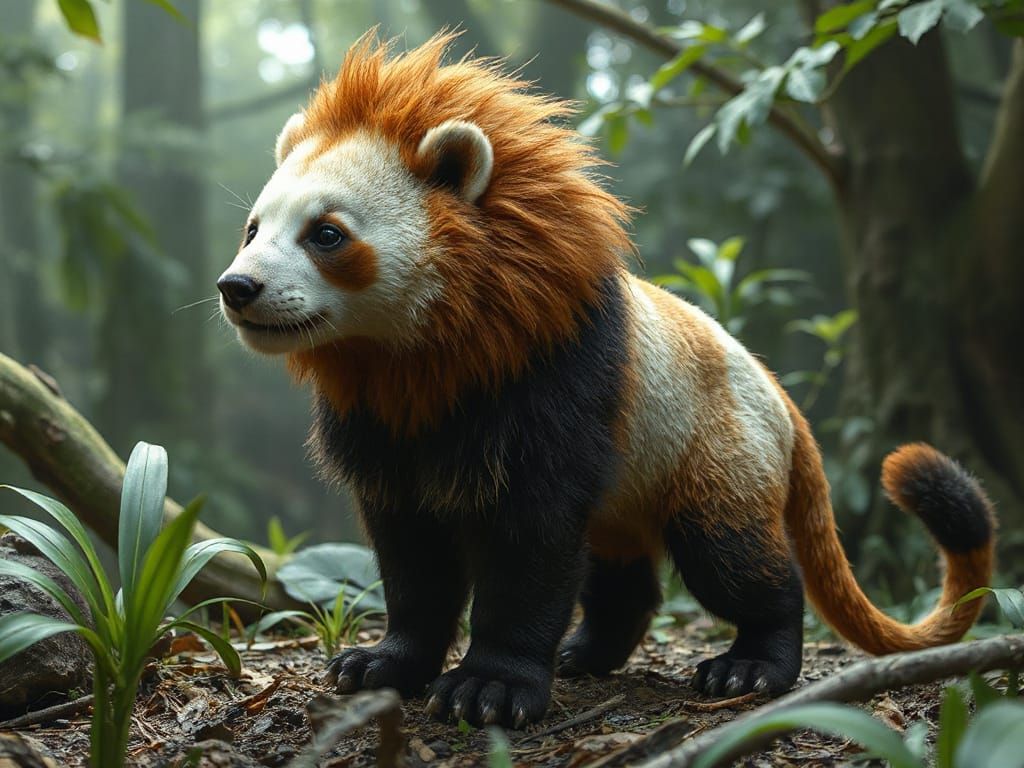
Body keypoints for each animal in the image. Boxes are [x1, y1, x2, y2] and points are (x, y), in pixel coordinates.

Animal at [217, 32, 995, 729]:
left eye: (326, 234)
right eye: (253, 229)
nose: (237, 287)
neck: (424, 348)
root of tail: (780, 397)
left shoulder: (552, 378)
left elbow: (530, 541)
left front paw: (488, 687)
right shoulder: (383, 419)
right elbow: (410, 550)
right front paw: (382, 663)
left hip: (713, 444)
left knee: (731, 555)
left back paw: (750, 663)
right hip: (638, 473)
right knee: (618, 565)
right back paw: (587, 651)